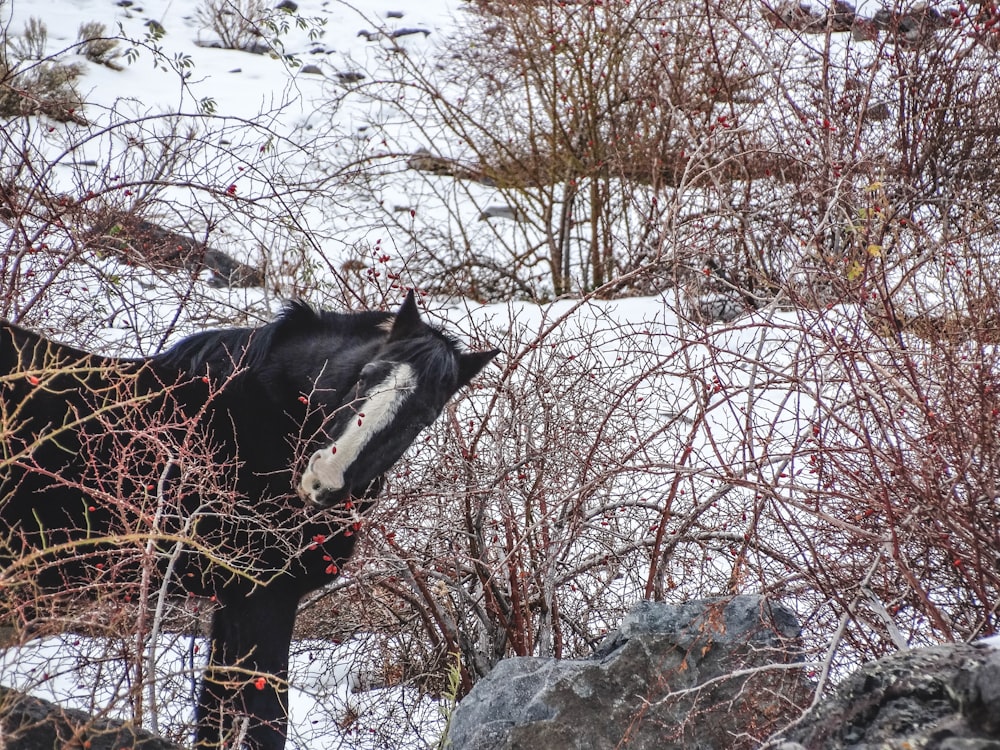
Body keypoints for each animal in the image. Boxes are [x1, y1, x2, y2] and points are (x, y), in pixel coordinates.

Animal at [0, 294, 498, 750]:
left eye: (422, 417)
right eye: (366, 376)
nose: (323, 480)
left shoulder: (235, 601)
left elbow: (218, 718)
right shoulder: (265, 597)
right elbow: (265, 721)